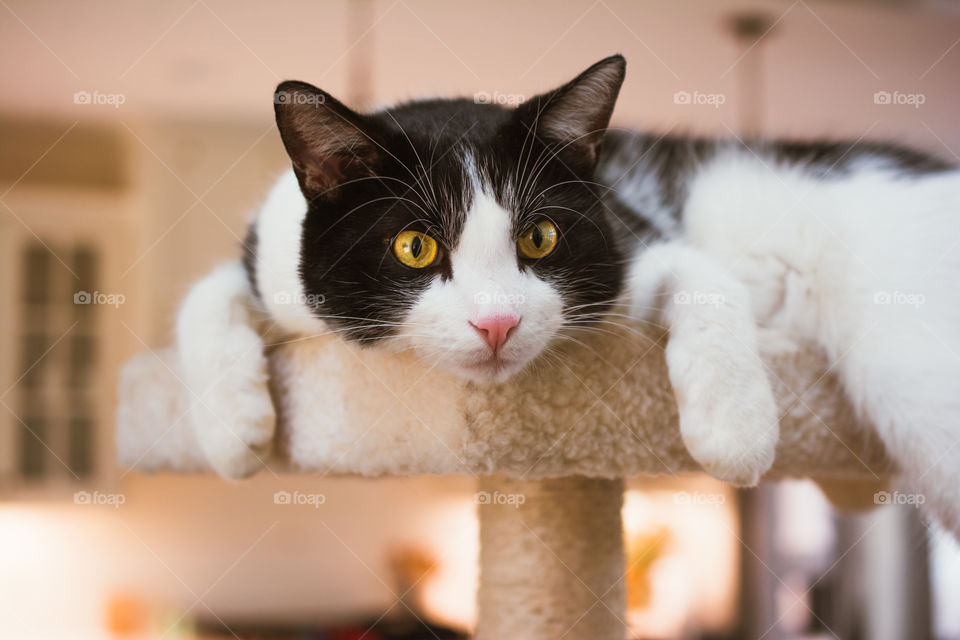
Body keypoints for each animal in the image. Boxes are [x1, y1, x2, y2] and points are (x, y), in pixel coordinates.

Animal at [174, 53, 960, 536]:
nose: (496, 323)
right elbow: (204, 294)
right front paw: (233, 430)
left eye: (540, 238)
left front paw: (736, 429)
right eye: (414, 247)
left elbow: (701, 276)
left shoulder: (629, 232)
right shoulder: (272, 264)